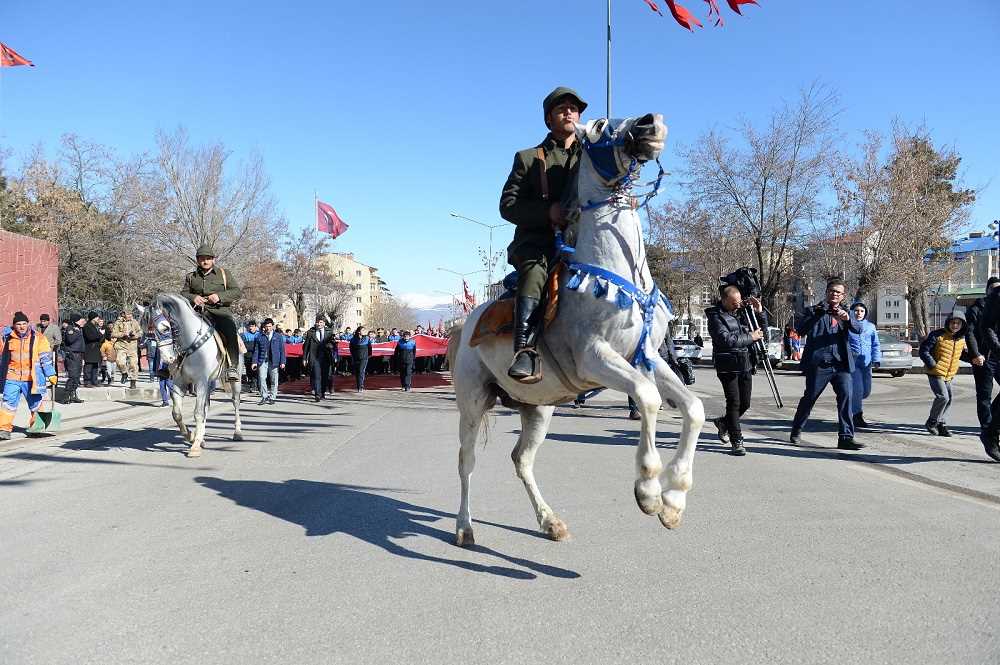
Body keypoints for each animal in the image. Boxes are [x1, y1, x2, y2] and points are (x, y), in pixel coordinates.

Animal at [142, 294, 243, 457]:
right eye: (147, 332)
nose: (168, 359)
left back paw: (237, 432)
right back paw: (201, 437)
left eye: (165, 328)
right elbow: (177, 413)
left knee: (235, 402)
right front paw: (191, 436)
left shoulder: (201, 381)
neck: (189, 343)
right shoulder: (179, 382)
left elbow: (198, 413)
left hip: (234, 381)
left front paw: (194, 446)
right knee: (206, 406)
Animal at [447, 114, 704, 546]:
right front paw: (649, 490)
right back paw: (465, 527)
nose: (651, 123)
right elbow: (648, 398)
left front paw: (674, 501)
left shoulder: (648, 357)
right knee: (466, 461)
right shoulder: (595, 357)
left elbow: (694, 407)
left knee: (521, 459)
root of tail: (464, 328)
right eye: (600, 126)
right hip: (473, 401)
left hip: (538, 407)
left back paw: (550, 521)